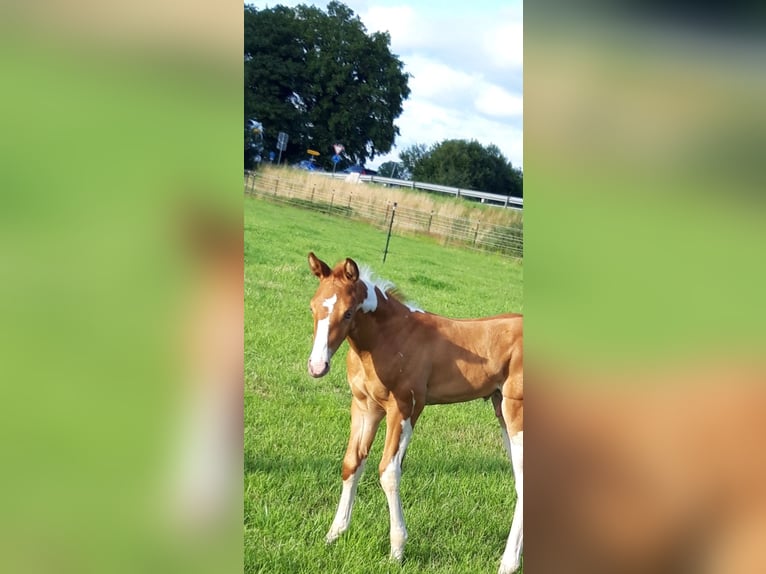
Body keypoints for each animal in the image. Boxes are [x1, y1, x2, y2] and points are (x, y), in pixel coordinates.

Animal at [306, 252, 523, 574]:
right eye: (312, 307)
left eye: (347, 313)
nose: (317, 366)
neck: (389, 338)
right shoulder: (364, 407)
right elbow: (352, 464)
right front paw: (334, 534)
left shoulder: (405, 407)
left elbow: (389, 472)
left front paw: (397, 550)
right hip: (501, 410)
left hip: (515, 412)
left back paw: (507, 563)